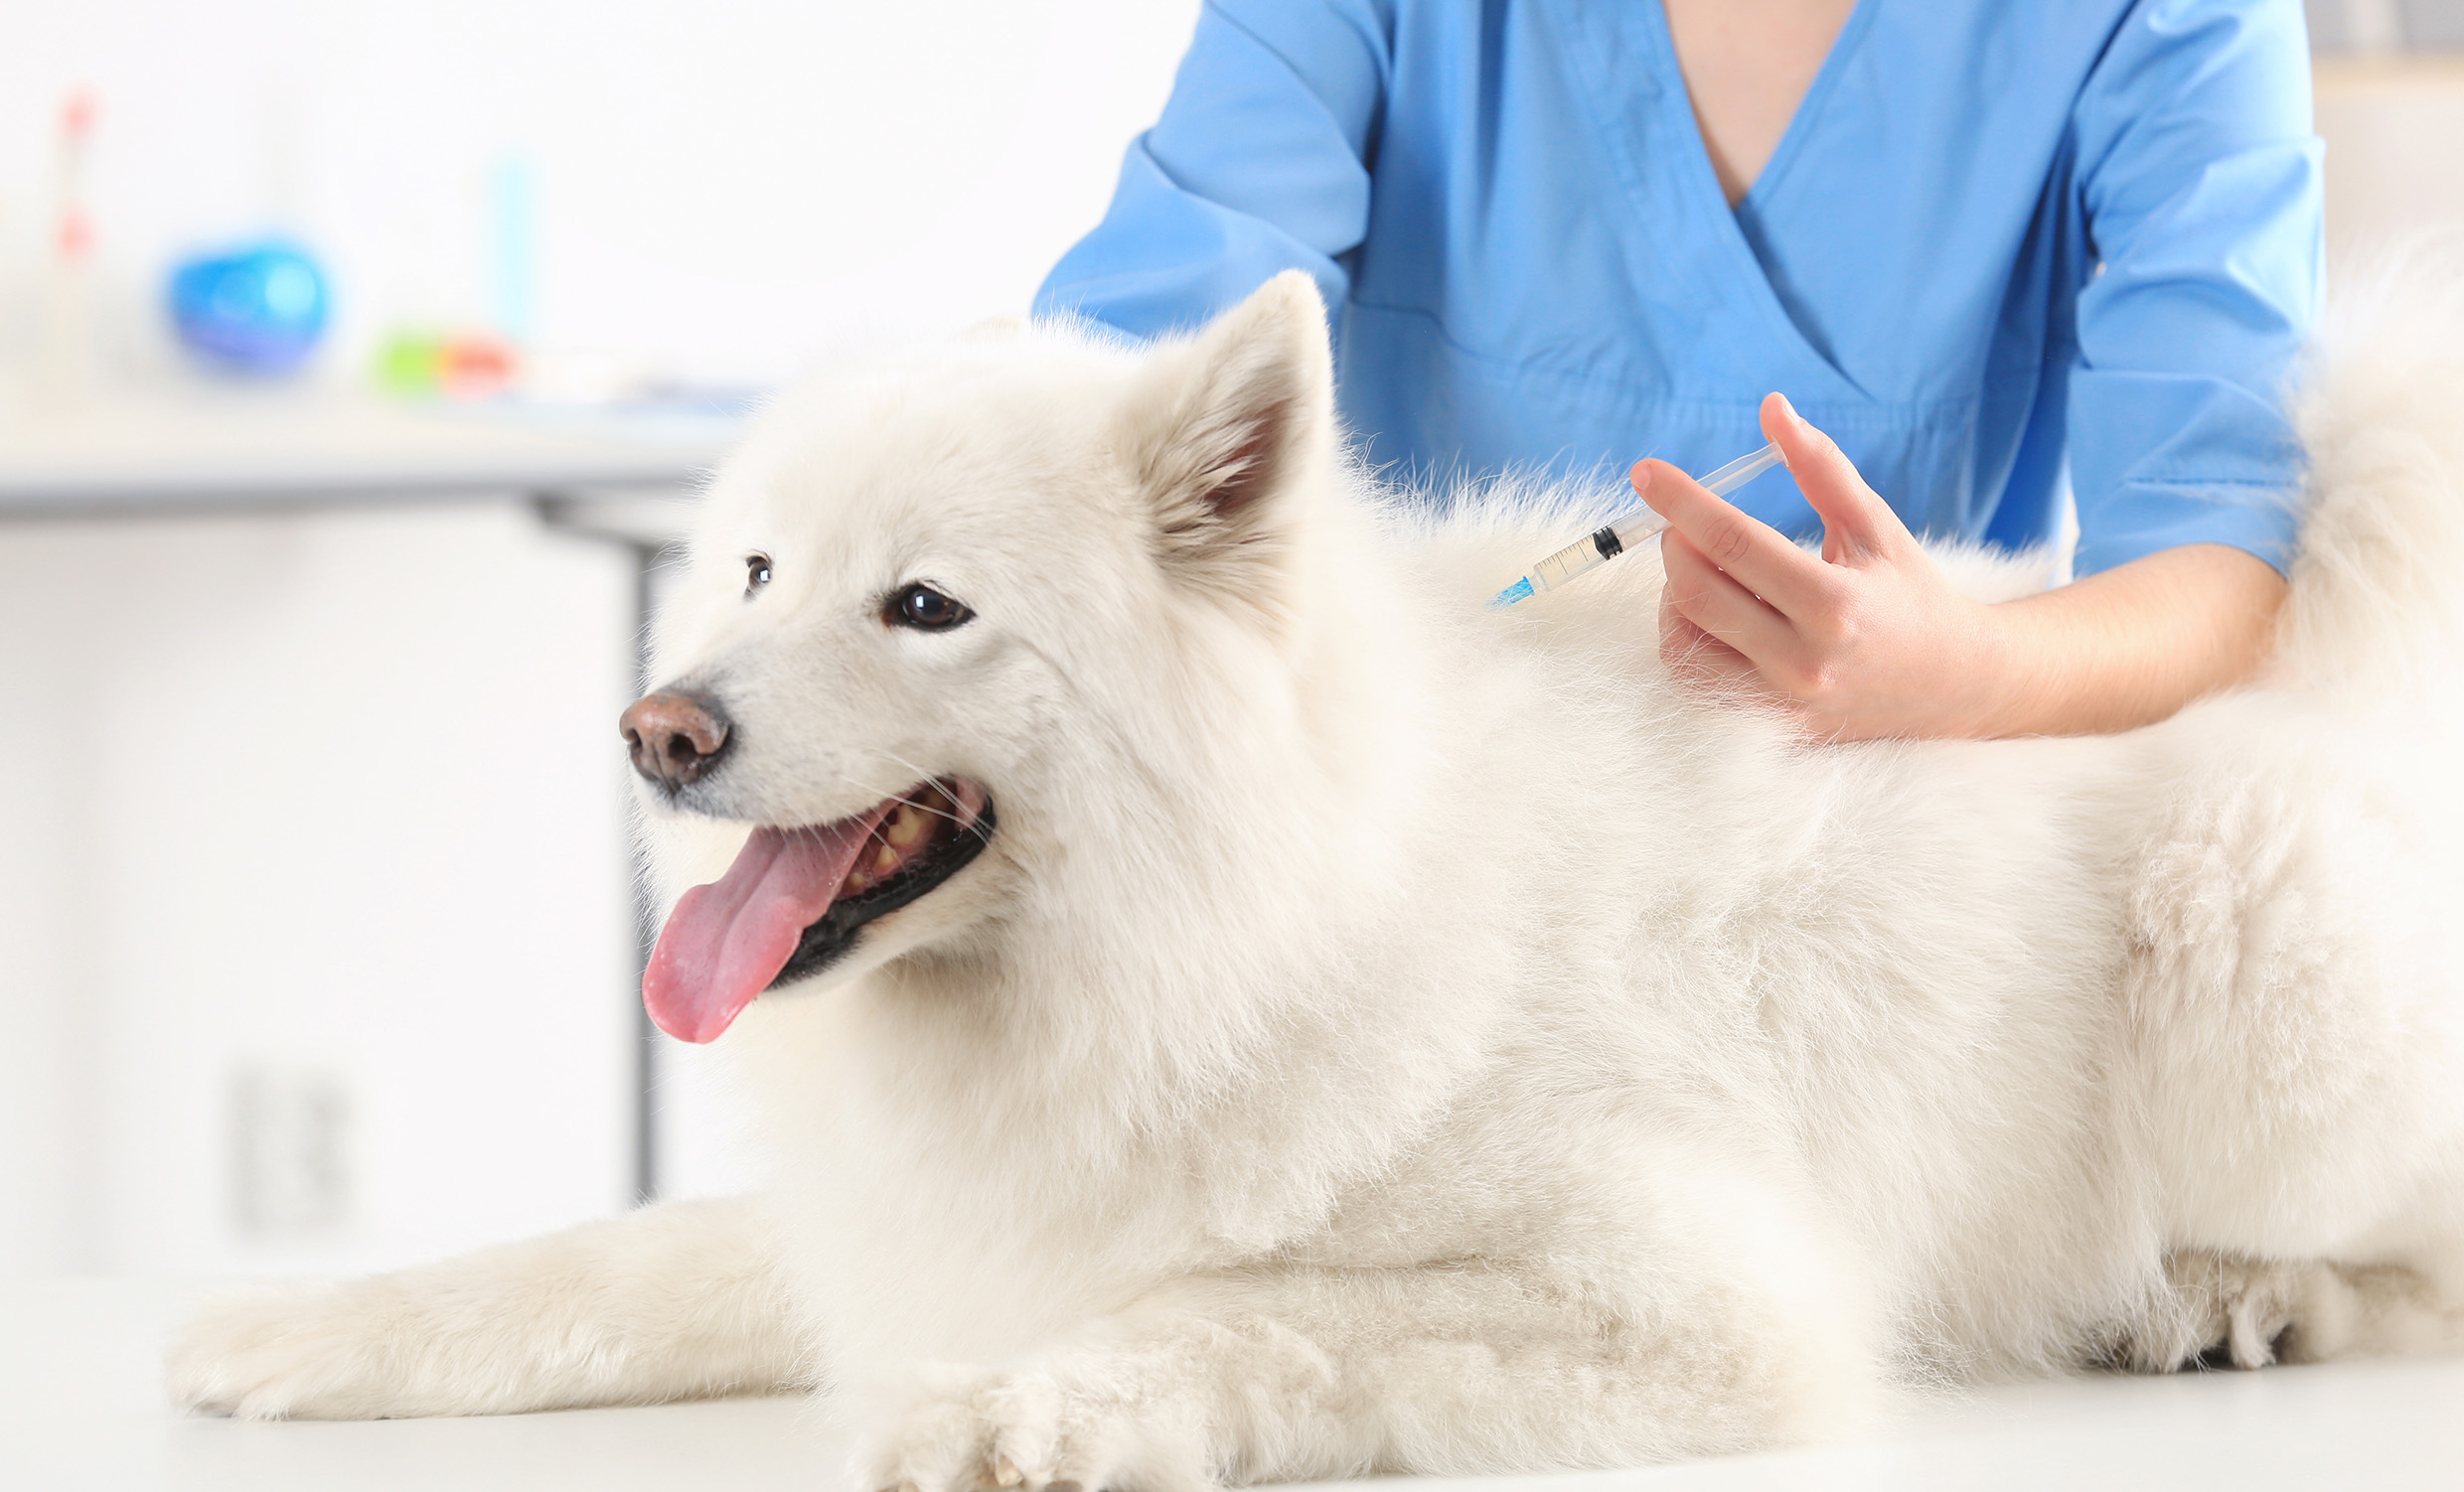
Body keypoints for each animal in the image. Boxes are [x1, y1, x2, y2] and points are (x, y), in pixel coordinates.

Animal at [168, 254, 2464, 1487]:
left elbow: (1253, 1309)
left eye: (925, 607)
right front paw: (298, 1327)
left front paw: (1016, 1408)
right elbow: (601, 1261)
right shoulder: (918, 1216)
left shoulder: (1701, 1302)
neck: (1222, 923)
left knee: (2411, 1259)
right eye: (751, 570)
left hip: (2256, 939)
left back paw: (2233, 1295)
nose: (659, 732)